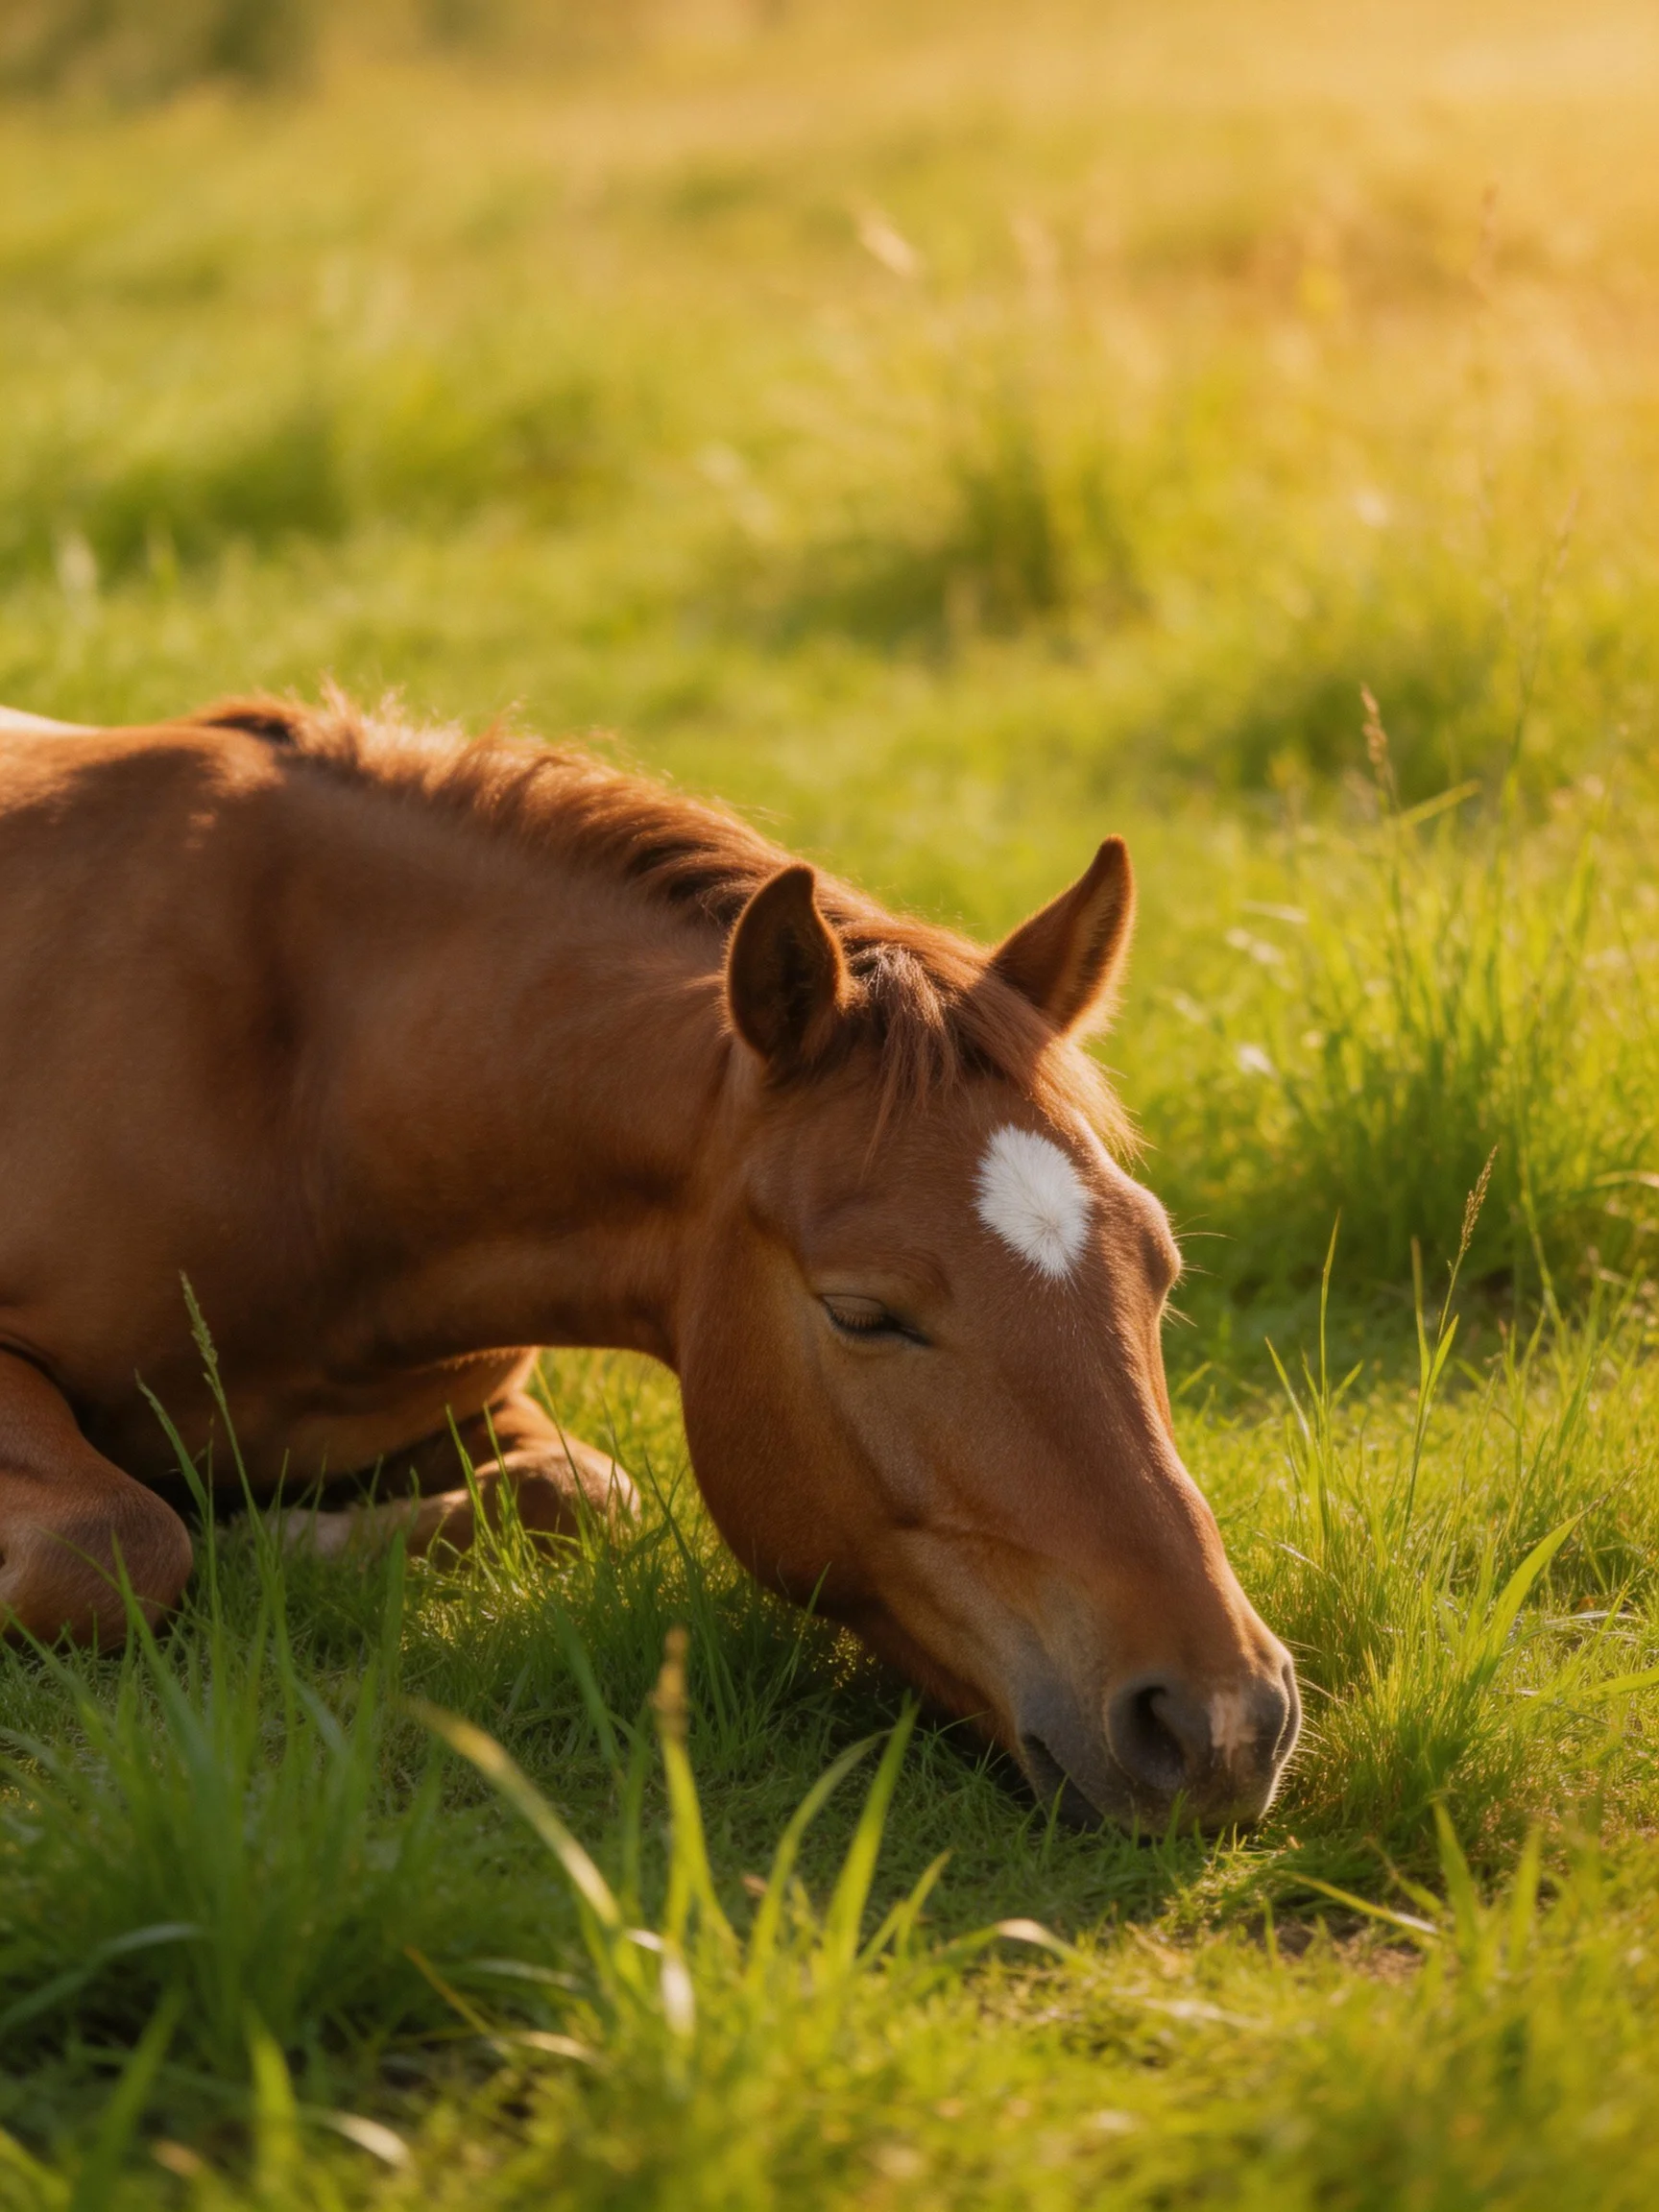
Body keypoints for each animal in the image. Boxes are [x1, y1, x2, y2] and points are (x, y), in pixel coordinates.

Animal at [0, 692, 1297, 1830]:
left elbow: (579, 1492)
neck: (300, 1106)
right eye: (862, 1312)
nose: (1219, 1721)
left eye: (1158, 1269)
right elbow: (118, 1542)